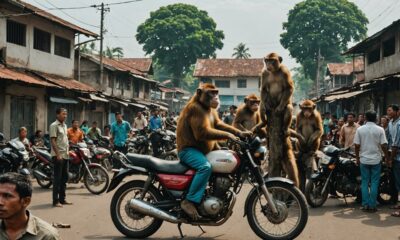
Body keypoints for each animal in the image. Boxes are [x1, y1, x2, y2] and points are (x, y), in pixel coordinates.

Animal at [177, 83, 252, 219]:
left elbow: (218, 124)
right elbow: (201, 132)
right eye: (211, 93)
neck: (203, 105)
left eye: (216, 92)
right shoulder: (196, 110)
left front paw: (243, 133)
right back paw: (188, 205)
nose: (216, 98)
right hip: (189, 155)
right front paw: (231, 136)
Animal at [258, 52, 298, 188]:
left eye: (273, 60)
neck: (274, 71)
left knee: (288, 107)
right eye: (267, 60)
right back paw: (265, 118)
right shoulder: (264, 72)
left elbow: (289, 88)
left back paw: (284, 126)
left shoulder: (285, 71)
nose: (269, 64)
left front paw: (280, 108)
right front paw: (265, 105)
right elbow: (263, 89)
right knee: (263, 105)